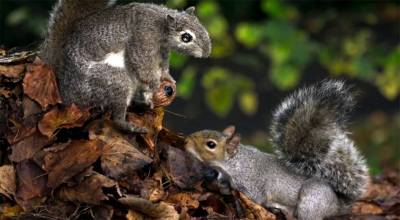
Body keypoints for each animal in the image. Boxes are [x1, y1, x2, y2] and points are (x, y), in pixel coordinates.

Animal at [39, 0, 212, 132]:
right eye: (186, 37)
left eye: (202, 27)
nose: (207, 53)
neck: (161, 25)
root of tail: (68, 94)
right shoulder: (143, 38)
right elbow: (143, 67)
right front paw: (155, 85)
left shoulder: (162, 52)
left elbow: (162, 67)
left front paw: (167, 78)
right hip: (113, 81)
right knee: (116, 118)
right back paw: (131, 127)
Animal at [184, 80, 368, 220]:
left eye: (211, 144)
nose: (186, 142)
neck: (236, 163)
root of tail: (338, 205)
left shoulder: (252, 184)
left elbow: (256, 198)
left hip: (311, 201)